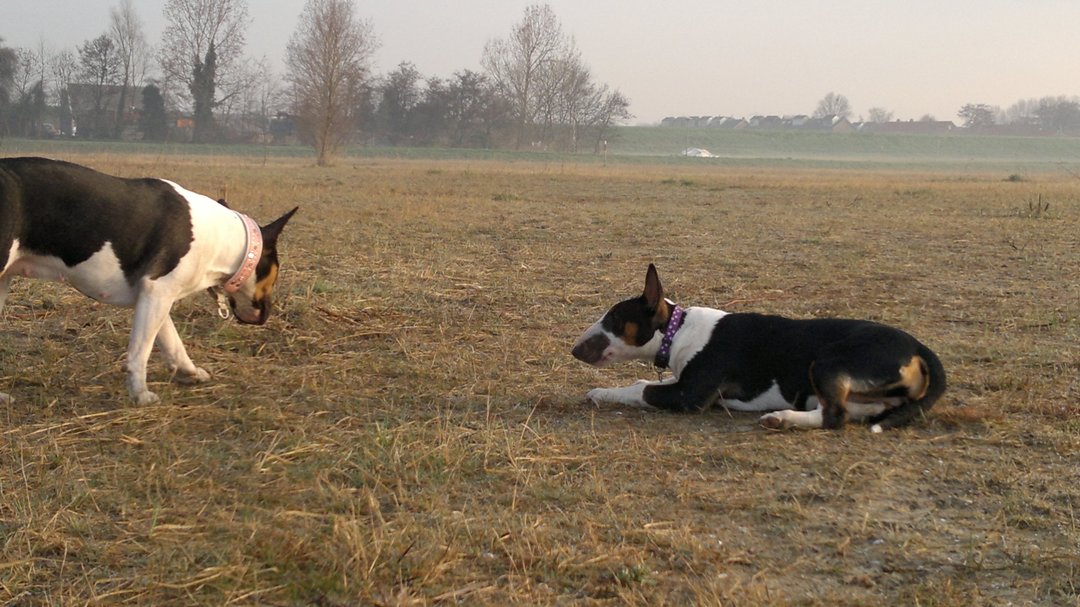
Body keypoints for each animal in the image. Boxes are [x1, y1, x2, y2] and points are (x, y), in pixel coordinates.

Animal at [0, 155, 298, 401]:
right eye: (276, 272)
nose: (267, 314)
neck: (226, 242)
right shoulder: (158, 291)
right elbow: (140, 351)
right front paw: (140, 395)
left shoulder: (153, 297)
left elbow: (172, 342)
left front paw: (189, 372)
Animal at [574, 264, 946, 429]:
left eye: (614, 318)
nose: (575, 350)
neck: (678, 331)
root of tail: (919, 348)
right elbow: (641, 382)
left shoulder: (690, 395)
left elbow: (641, 390)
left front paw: (600, 392)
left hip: (828, 362)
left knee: (835, 416)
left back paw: (782, 418)